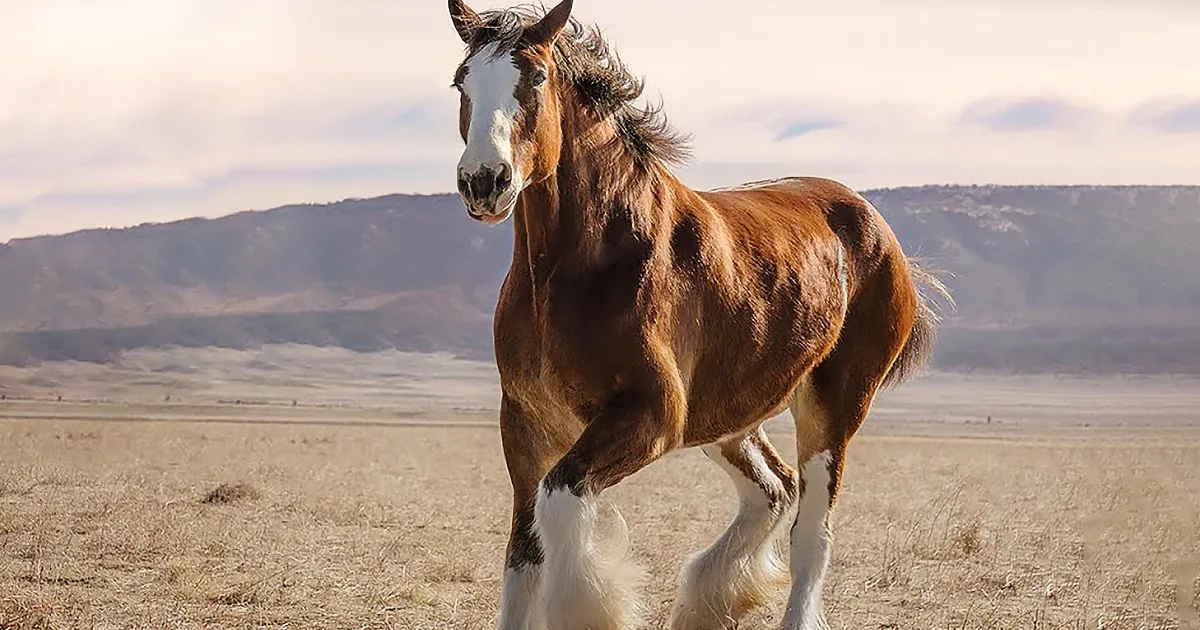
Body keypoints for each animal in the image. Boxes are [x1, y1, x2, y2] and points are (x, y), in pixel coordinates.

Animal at [444, 2, 949, 628]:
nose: (484, 181)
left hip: (835, 406)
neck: (584, 265)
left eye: (535, 77)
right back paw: (714, 595)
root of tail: (877, 227)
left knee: (813, 532)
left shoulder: (652, 416)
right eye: (461, 82)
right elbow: (523, 558)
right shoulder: (526, 425)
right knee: (774, 489)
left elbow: (558, 507)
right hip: (728, 415)